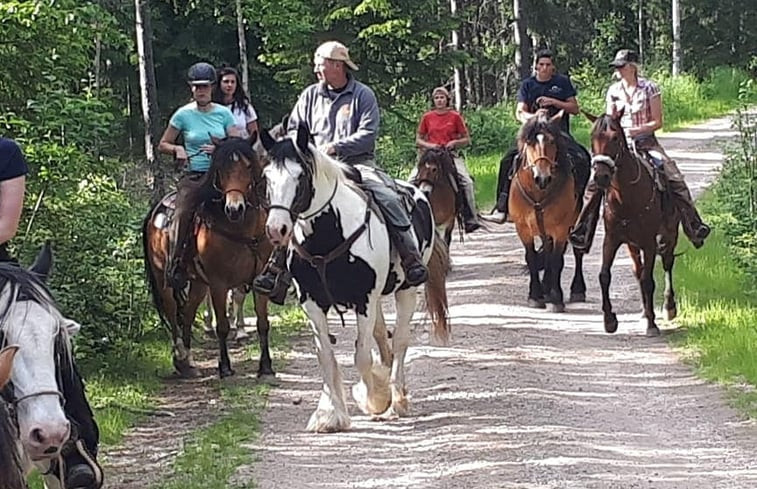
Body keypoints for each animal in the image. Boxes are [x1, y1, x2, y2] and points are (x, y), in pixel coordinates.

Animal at [140, 136, 274, 378]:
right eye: (220, 169)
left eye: (248, 166)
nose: (234, 208)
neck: (243, 231)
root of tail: (155, 210)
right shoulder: (219, 283)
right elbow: (222, 325)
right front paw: (225, 367)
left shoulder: (258, 279)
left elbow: (262, 322)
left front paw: (266, 366)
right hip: (165, 279)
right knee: (173, 314)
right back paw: (180, 358)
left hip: (198, 284)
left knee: (188, 313)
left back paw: (189, 362)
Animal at [260, 125, 448, 430]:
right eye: (267, 177)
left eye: (300, 176)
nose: (277, 229)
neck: (328, 236)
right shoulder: (312, 304)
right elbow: (326, 356)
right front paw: (329, 414)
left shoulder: (364, 300)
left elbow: (360, 356)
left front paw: (376, 398)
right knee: (382, 336)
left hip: (406, 290)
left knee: (400, 340)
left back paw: (398, 398)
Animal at [510, 109, 588, 308]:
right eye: (529, 142)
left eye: (552, 141)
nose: (542, 177)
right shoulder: (523, 229)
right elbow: (532, 258)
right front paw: (535, 295)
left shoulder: (560, 228)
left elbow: (556, 260)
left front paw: (556, 298)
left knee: (576, 252)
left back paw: (577, 290)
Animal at [584, 110, 680, 334]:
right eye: (593, 138)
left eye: (615, 138)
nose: (600, 176)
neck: (626, 197)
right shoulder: (612, 239)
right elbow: (604, 275)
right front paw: (609, 320)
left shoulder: (649, 242)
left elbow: (648, 280)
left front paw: (653, 324)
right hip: (632, 245)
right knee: (638, 271)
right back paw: (644, 313)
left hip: (669, 234)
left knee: (667, 263)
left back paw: (668, 307)